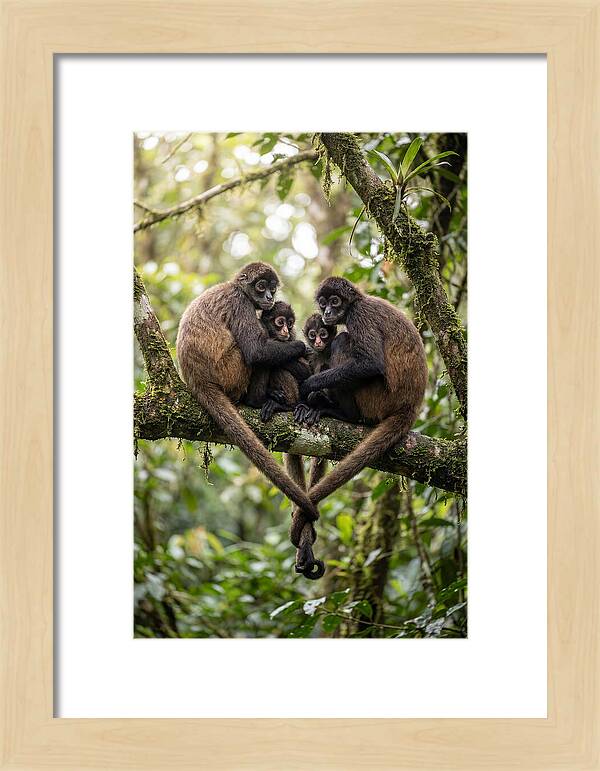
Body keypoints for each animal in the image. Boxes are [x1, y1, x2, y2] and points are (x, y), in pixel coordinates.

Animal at [176, 262, 320, 524]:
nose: (269, 297)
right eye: (261, 286)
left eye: (272, 288)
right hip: (231, 371)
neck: (235, 287)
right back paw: (258, 400)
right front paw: (299, 347)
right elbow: (256, 351)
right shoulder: (240, 302)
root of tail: (197, 379)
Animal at [289, 276, 428, 548]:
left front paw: (309, 387)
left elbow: (370, 363)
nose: (328, 312)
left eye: (335, 301)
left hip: (377, 398)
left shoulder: (359, 315)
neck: (359, 301)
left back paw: (342, 414)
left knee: (343, 340)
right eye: (323, 304)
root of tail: (410, 406)